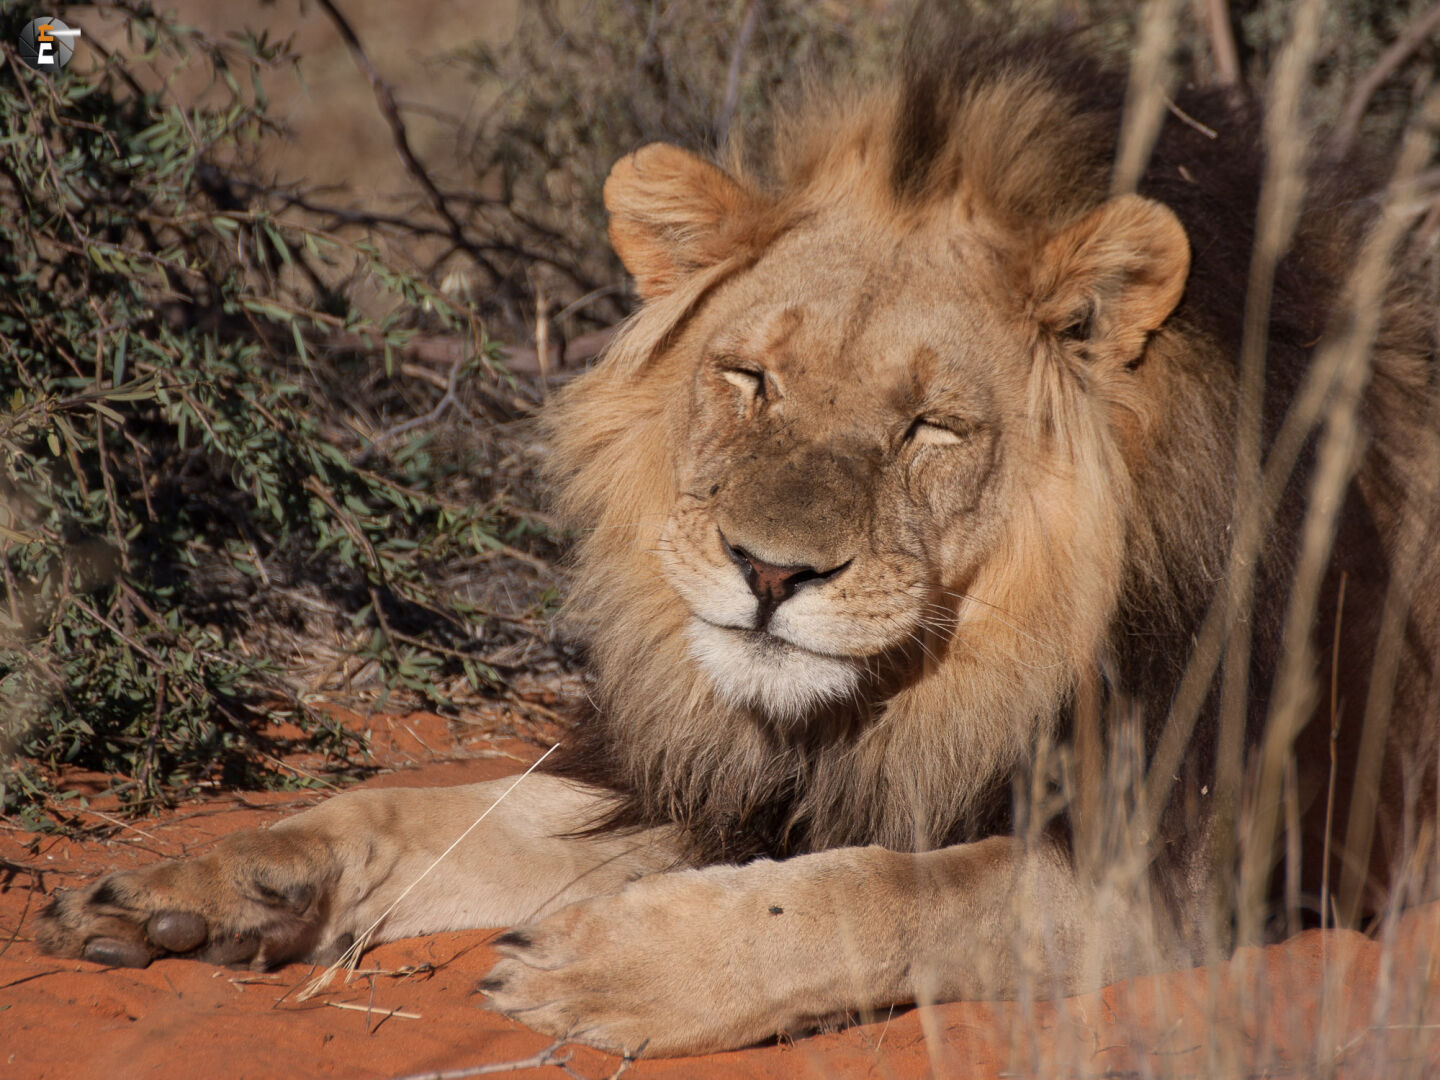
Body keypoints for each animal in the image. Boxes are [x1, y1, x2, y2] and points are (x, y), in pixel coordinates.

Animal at [35, 21, 1440, 1058]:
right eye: (752, 379)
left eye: (932, 427)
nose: (769, 573)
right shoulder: (710, 780)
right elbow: (421, 815)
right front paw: (208, 884)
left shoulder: (1221, 868)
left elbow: (895, 887)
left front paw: (614, 965)